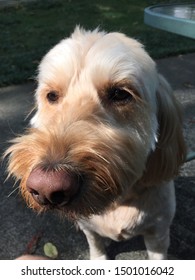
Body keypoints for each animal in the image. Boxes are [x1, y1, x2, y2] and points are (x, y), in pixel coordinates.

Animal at [4, 27, 186, 260]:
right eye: (52, 96)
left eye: (120, 94)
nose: (46, 188)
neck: (119, 200)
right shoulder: (89, 229)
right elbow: (96, 245)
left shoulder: (159, 235)